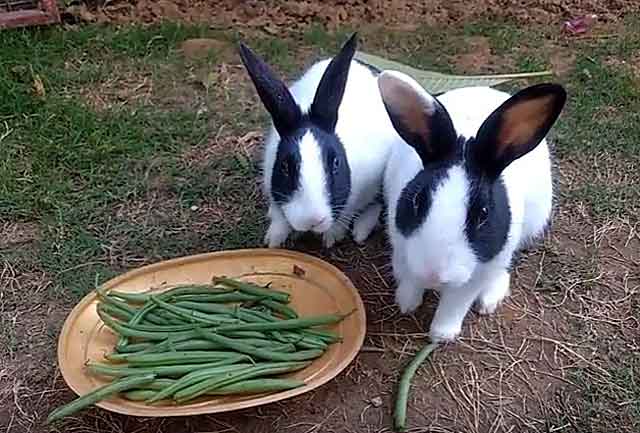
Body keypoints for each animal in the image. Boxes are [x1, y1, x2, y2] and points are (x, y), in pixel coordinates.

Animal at [238, 34, 398, 248]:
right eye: (284, 166)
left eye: (336, 163)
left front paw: (331, 237)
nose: (312, 220)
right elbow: (279, 217)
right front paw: (274, 240)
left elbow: (346, 215)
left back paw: (360, 232)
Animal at [377, 70, 566, 342]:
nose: (433, 275)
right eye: (417, 200)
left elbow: (455, 303)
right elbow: (410, 279)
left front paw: (441, 336)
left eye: (483, 214)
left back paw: (489, 300)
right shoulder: (401, 245)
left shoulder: (479, 271)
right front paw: (406, 303)